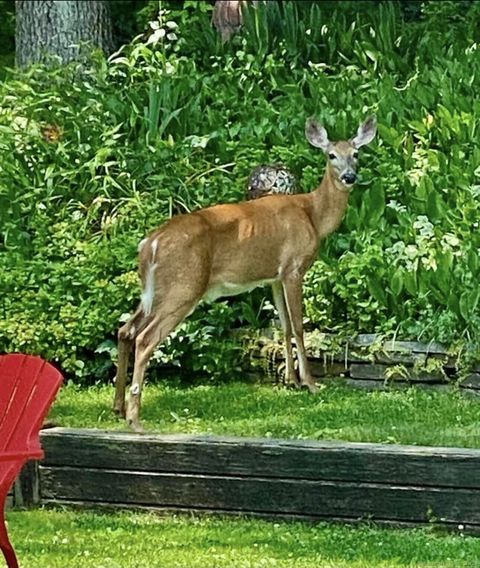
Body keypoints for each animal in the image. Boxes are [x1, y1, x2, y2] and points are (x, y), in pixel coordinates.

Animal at [113, 115, 378, 428]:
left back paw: (118, 407)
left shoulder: (274, 276)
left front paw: (291, 380)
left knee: (125, 330)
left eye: (356, 154)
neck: (313, 214)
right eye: (331, 155)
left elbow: (284, 325)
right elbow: (299, 326)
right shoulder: (294, 267)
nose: (350, 176)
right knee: (145, 338)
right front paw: (311, 383)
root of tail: (149, 244)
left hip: (154, 291)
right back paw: (135, 418)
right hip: (185, 286)